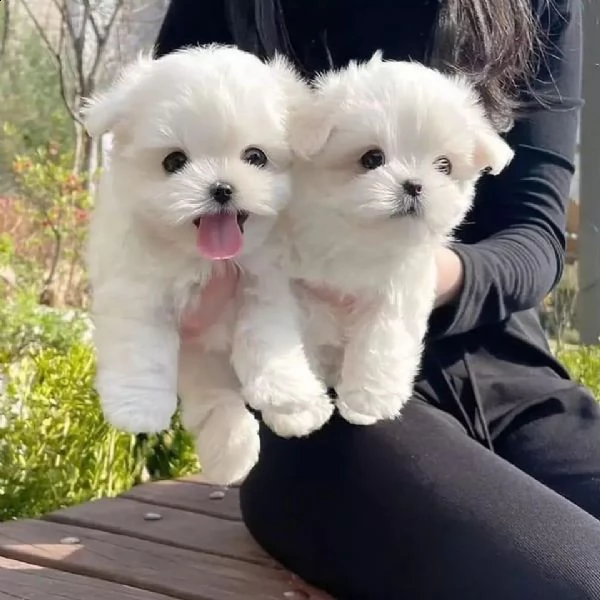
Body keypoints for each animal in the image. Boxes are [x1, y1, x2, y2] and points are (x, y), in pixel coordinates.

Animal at [85, 45, 332, 488]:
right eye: (173, 161)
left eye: (255, 156)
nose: (221, 188)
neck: (205, 259)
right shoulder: (135, 289)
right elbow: (140, 347)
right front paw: (137, 406)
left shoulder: (267, 283)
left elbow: (267, 335)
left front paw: (284, 389)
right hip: (200, 365)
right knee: (217, 402)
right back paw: (231, 453)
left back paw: (302, 410)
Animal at [288, 54, 516, 424]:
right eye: (372, 159)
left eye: (444, 165)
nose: (414, 185)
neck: (358, 235)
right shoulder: (299, 284)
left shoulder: (400, 288)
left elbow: (383, 341)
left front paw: (366, 403)